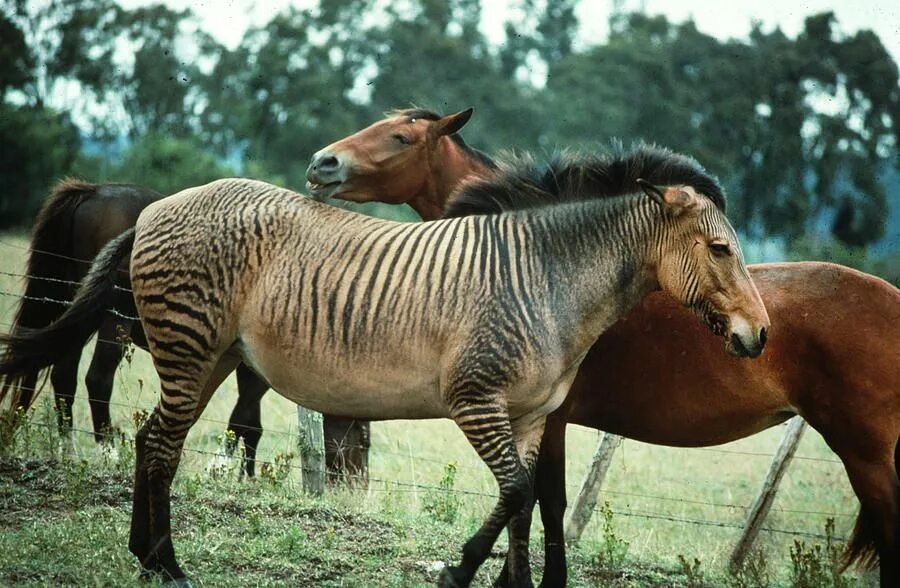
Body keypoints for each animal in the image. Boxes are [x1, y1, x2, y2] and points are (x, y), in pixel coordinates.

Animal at [0, 146, 768, 584]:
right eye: (722, 250)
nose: (760, 337)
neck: (547, 276)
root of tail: (157, 207)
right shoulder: (476, 400)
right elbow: (518, 493)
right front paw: (459, 572)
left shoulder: (529, 415)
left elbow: (523, 501)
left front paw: (509, 581)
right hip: (188, 348)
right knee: (158, 441)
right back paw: (168, 565)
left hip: (211, 355)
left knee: (154, 441)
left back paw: (151, 557)